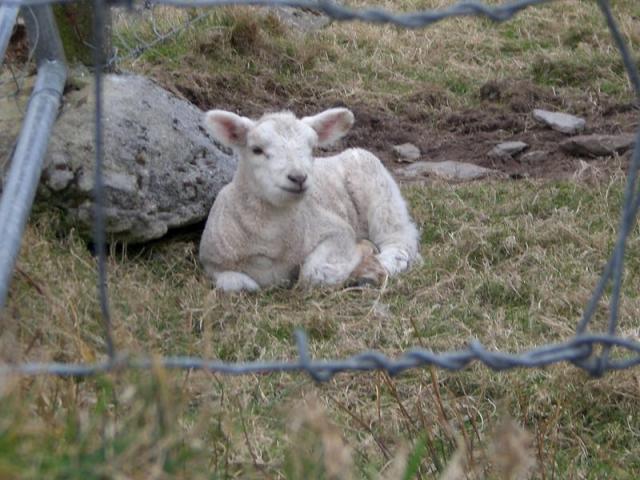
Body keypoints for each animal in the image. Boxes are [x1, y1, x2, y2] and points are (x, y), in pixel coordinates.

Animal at [199, 107, 420, 292]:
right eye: (256, 150)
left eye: (312, 148)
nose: (298, 177)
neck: (270, 241)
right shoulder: (211, 262)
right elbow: (237, 284)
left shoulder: (337, 231)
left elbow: (314, 273)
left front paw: (364, 254)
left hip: (379, 189)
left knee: (399, 240)